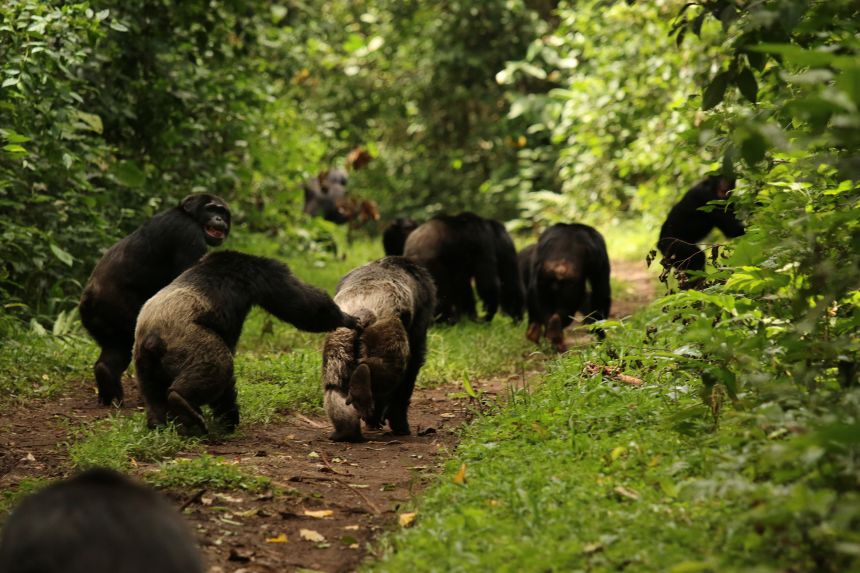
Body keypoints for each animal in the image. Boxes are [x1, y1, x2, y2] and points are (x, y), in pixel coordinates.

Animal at [79, 193, 231, 406]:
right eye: (211, 209)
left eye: (222, 212)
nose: (219, 219)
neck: (189, 216)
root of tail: (87, 300)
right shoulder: (188, 235)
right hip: (119, 310)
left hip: (100, 321)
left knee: (117, 347)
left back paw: (108, 385)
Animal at [133, 250, 358, 436]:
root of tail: (152, 337)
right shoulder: (266, 273)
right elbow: (301, 304)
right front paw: (346, 319)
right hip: (190, 341)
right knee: (218, 363)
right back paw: (182, 401)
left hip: (143, 362)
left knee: (153, 392)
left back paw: (159, 422)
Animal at [322, 257, 436, 442]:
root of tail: (361, 310)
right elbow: (413, 366)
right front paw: (399, 424)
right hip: (386, 333)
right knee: (388, 373)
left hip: (339, 336)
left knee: (334, 386)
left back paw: (346, 432)